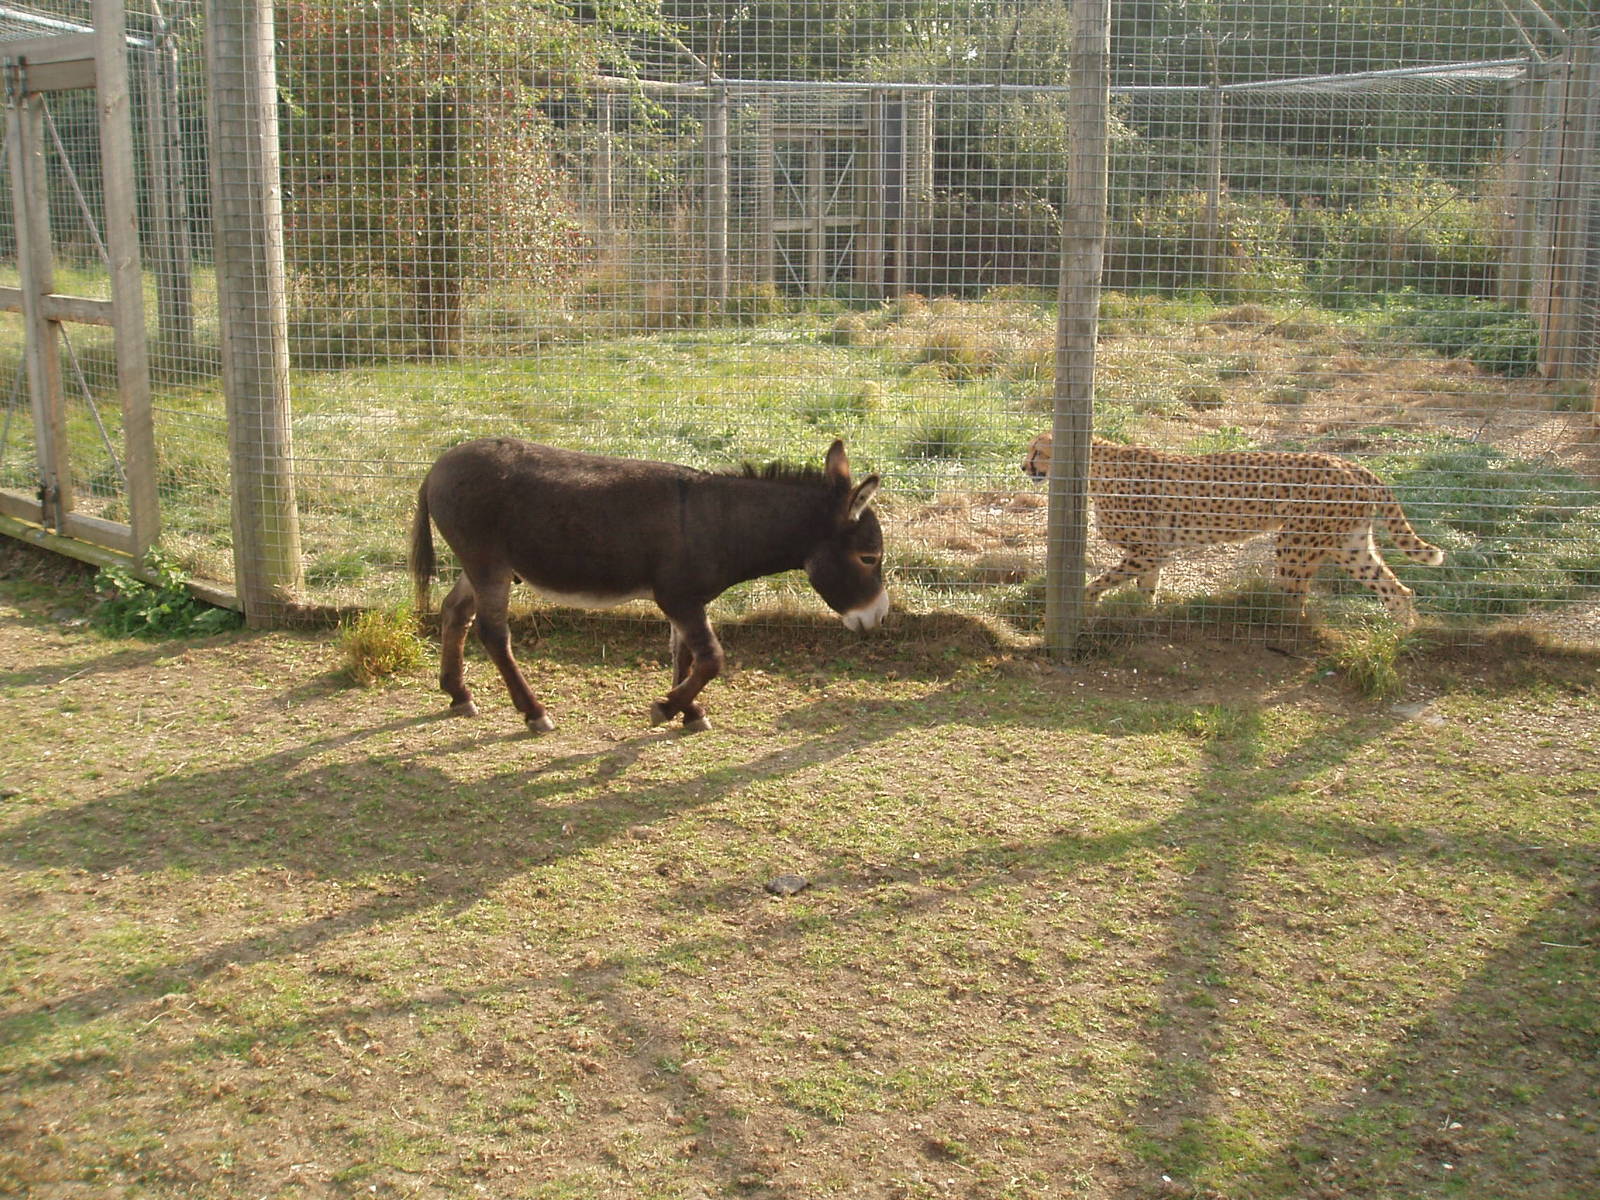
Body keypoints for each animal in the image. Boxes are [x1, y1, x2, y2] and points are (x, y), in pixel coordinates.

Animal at [1022, 431, 1445, 624]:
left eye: (1038, 451)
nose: (1023, 466)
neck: (1094, 465)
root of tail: (1351, 464)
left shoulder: (1149, 549)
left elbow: (1102, 581)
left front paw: (1084, 604)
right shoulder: (1155, 552)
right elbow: (1146, 588)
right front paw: (1144, 616)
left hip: (1295, 546)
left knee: (1296, 601)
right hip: (1350, 546)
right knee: (1397, 589)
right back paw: (1400, 634)